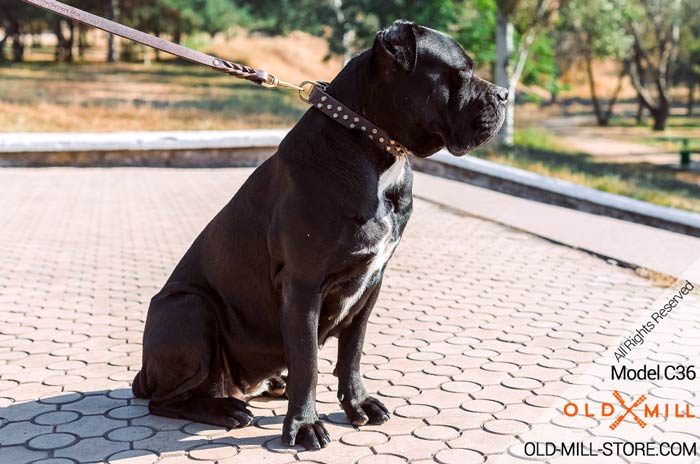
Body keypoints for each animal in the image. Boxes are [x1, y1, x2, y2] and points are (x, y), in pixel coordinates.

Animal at [131, 20, 506, 452]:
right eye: (459, 73)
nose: (504, 94)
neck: (377, 148)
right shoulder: (303, 286)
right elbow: (308, 360)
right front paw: (305, 425)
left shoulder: (371, 282)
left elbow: (352, 352)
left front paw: (357, 404)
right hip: (189, 306)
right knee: (165, 400)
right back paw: (225, 409)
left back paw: (270, 385)